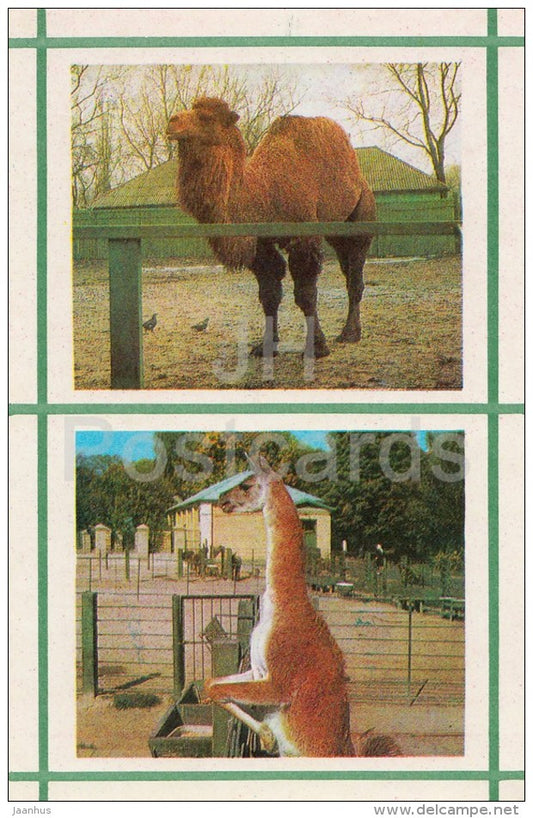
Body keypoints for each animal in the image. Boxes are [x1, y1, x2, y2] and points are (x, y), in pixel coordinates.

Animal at [167, 97, 376, 359]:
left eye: (205, 117)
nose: (171, 122)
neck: (264, 192)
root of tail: (362, 181)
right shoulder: (261, 243)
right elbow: (269, 294)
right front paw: (266, 346)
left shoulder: (304, 238)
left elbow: (306, 294)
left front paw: (317, 347)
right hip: (336, 233)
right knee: (348, 269)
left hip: (361, 217)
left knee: (355, 274)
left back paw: (350, 334)